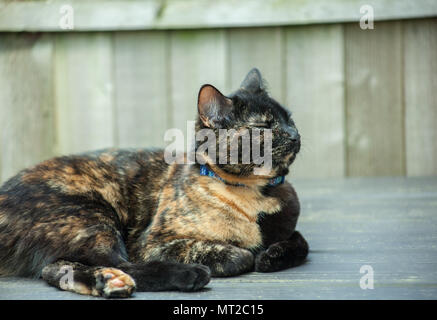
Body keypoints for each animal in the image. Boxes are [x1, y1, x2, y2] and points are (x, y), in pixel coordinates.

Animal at [0, 68, 306, 298]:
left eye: (289, 119)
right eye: (263, 127)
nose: (294, 134)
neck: (255, 193)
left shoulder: (290, 230)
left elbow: (300, 243)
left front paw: (271, 255)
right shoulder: (153, 244)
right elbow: (235, 255)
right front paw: (248, 254)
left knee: (56, 269)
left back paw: (109, 282)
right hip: (92, 215)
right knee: (120, 262)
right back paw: (189, 275)